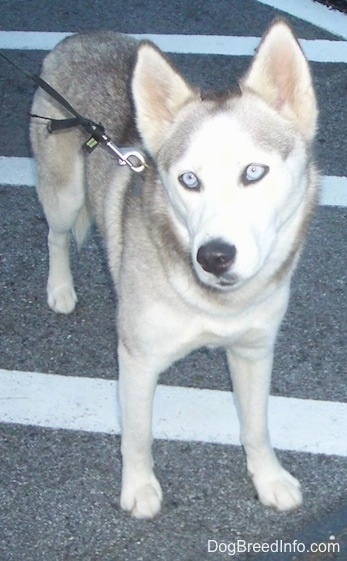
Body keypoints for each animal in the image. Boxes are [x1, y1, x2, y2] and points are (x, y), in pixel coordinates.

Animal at [31, 19, 320, 520]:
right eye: (189, 180)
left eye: (254, 172)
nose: (214, 255)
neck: (217, 304)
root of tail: (81, 35)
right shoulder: (137, 359)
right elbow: (137, 433)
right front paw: (139, 488)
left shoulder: (254, 350)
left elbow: (256, 426)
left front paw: (269, 479)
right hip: (64, 194)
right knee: (57, 234)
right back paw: (60, 289)